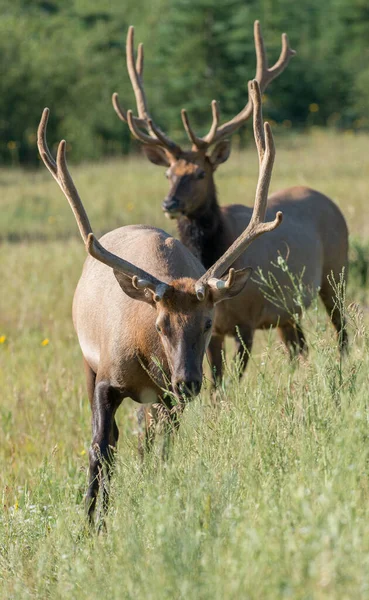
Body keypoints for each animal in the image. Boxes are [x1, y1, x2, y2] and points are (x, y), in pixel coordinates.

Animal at [37, 82, 280, 524]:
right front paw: (91, 521)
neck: (143, 355)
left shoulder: (168, 398)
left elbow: (159, 451)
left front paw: (151, 496)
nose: (188, 382)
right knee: (111, 439)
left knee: (145, 439)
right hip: (87, 361)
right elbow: (99, 445)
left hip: (156, 400)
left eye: (207, 323)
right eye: (161, 325)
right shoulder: (105, 377)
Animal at [113, 25, 348, 380]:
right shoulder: (217, 330)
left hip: (336, 275)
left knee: (341, 331)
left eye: (200, 173)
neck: (212, 250)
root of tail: (330, 202)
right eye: (168, 173)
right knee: (299, 348)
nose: (170, 203)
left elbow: (234, 378)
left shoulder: (245, 320)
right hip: (289, 312)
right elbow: (217, 380)